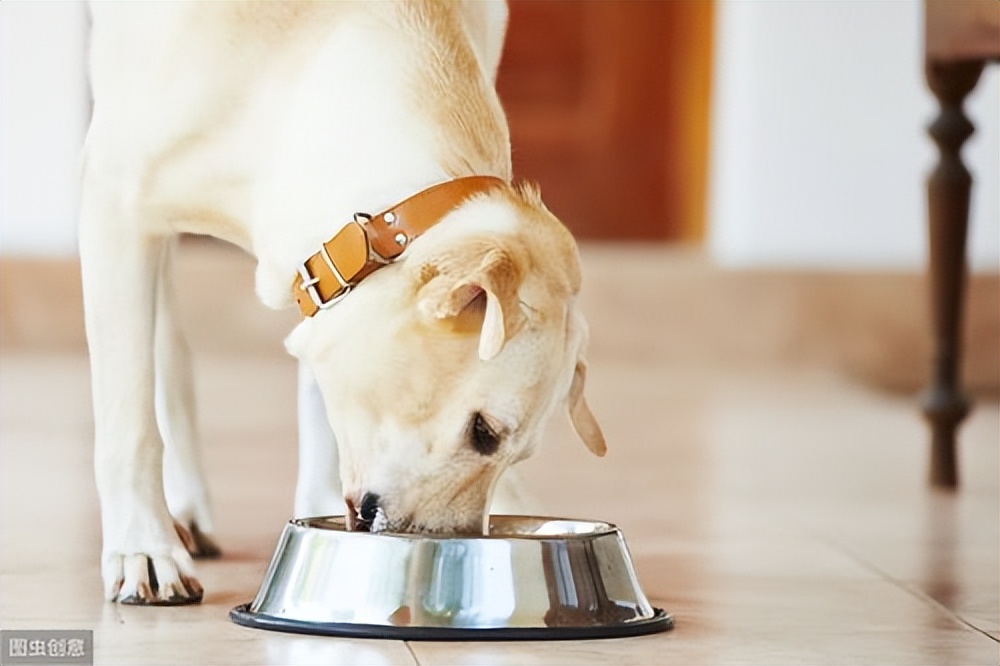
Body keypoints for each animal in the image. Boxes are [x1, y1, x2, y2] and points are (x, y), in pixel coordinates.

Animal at [80, 0, 600, 604]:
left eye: (515, 452)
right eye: (484, 432)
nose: (461, 550)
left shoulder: (321, 276)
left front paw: (316, 509)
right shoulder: (112, 202)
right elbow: (129, 422)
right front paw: (143, 547)